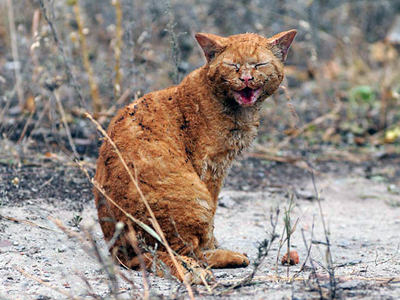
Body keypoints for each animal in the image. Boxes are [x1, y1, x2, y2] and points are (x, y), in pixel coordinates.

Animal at [94, 29, 296, 284]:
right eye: (233, 65)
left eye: (259, 65)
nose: (246, 79)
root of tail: (122, 253)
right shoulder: (211, 166)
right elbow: (211, 221)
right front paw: (214, 245)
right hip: (194, 199)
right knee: (184, 252)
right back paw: (220, 261)